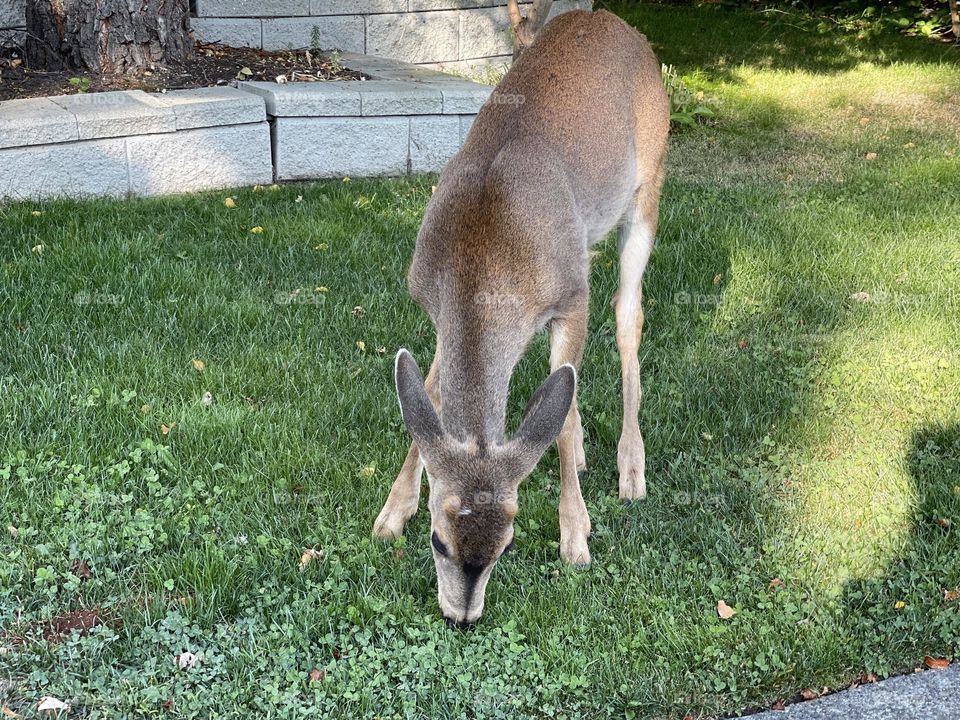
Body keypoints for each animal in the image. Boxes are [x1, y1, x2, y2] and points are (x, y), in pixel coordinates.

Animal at [374, 5, 668, 628]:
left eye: (507, 545)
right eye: (437, 539)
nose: (461, 616)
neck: (483, 256)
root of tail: (617, 23)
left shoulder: (571, 299)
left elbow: (561, 403)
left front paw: (576, 537)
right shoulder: (436, 308)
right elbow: (427, 393)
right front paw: (391, 512)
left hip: (650, 185)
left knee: (628, 315)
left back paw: (630, 468)